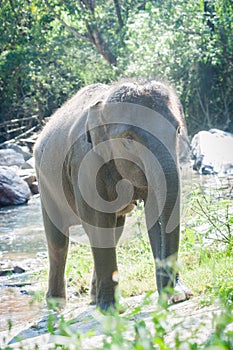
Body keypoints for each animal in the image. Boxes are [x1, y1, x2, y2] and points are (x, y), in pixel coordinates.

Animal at [33, 79, 192, 308]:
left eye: (177, 131)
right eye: (129, 138)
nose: (171, 293)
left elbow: (154, 212)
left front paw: (177, 295)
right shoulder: (85, 161)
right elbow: (97, 219)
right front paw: (111, 308)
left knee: (115, 231)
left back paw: (92, 298)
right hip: (45, 185)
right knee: (58, 241)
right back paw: (57, 304)